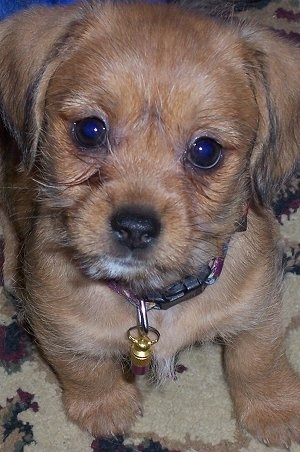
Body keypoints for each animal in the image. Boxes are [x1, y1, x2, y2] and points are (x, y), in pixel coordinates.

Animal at [0, 0, 300, 444]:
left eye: (205, 151)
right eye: (90, 130)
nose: (135, 227)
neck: (152, 296)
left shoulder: (259, 308)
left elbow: (258, 360)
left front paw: (275, 410)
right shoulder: (55, 322)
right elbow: (83, 368)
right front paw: (106, 407)